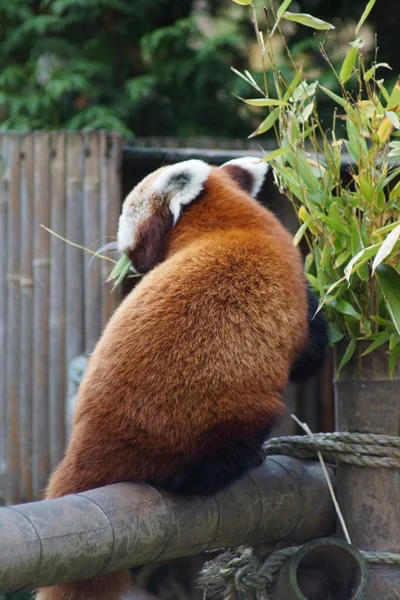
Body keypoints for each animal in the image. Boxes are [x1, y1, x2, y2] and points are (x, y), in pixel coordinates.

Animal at [35, 158, 328, 600]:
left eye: (124, 213)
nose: (122, 253)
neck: (236, 221)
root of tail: (83, 445)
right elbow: (309, 355)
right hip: (219, 413)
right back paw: (231, 465)